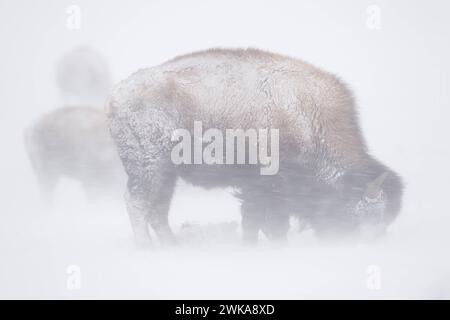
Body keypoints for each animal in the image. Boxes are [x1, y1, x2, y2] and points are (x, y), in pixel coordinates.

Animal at [106, 48, 404, 246]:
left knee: (158, 209)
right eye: (356, 217)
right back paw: (147, 248)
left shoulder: (255, 189)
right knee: (138, 203)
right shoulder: (267, 187)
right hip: (149, 167)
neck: (305, 117)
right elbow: (269, 223)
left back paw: (172, 246)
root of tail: (117, 95)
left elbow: (255, 220)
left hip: (167, 173)